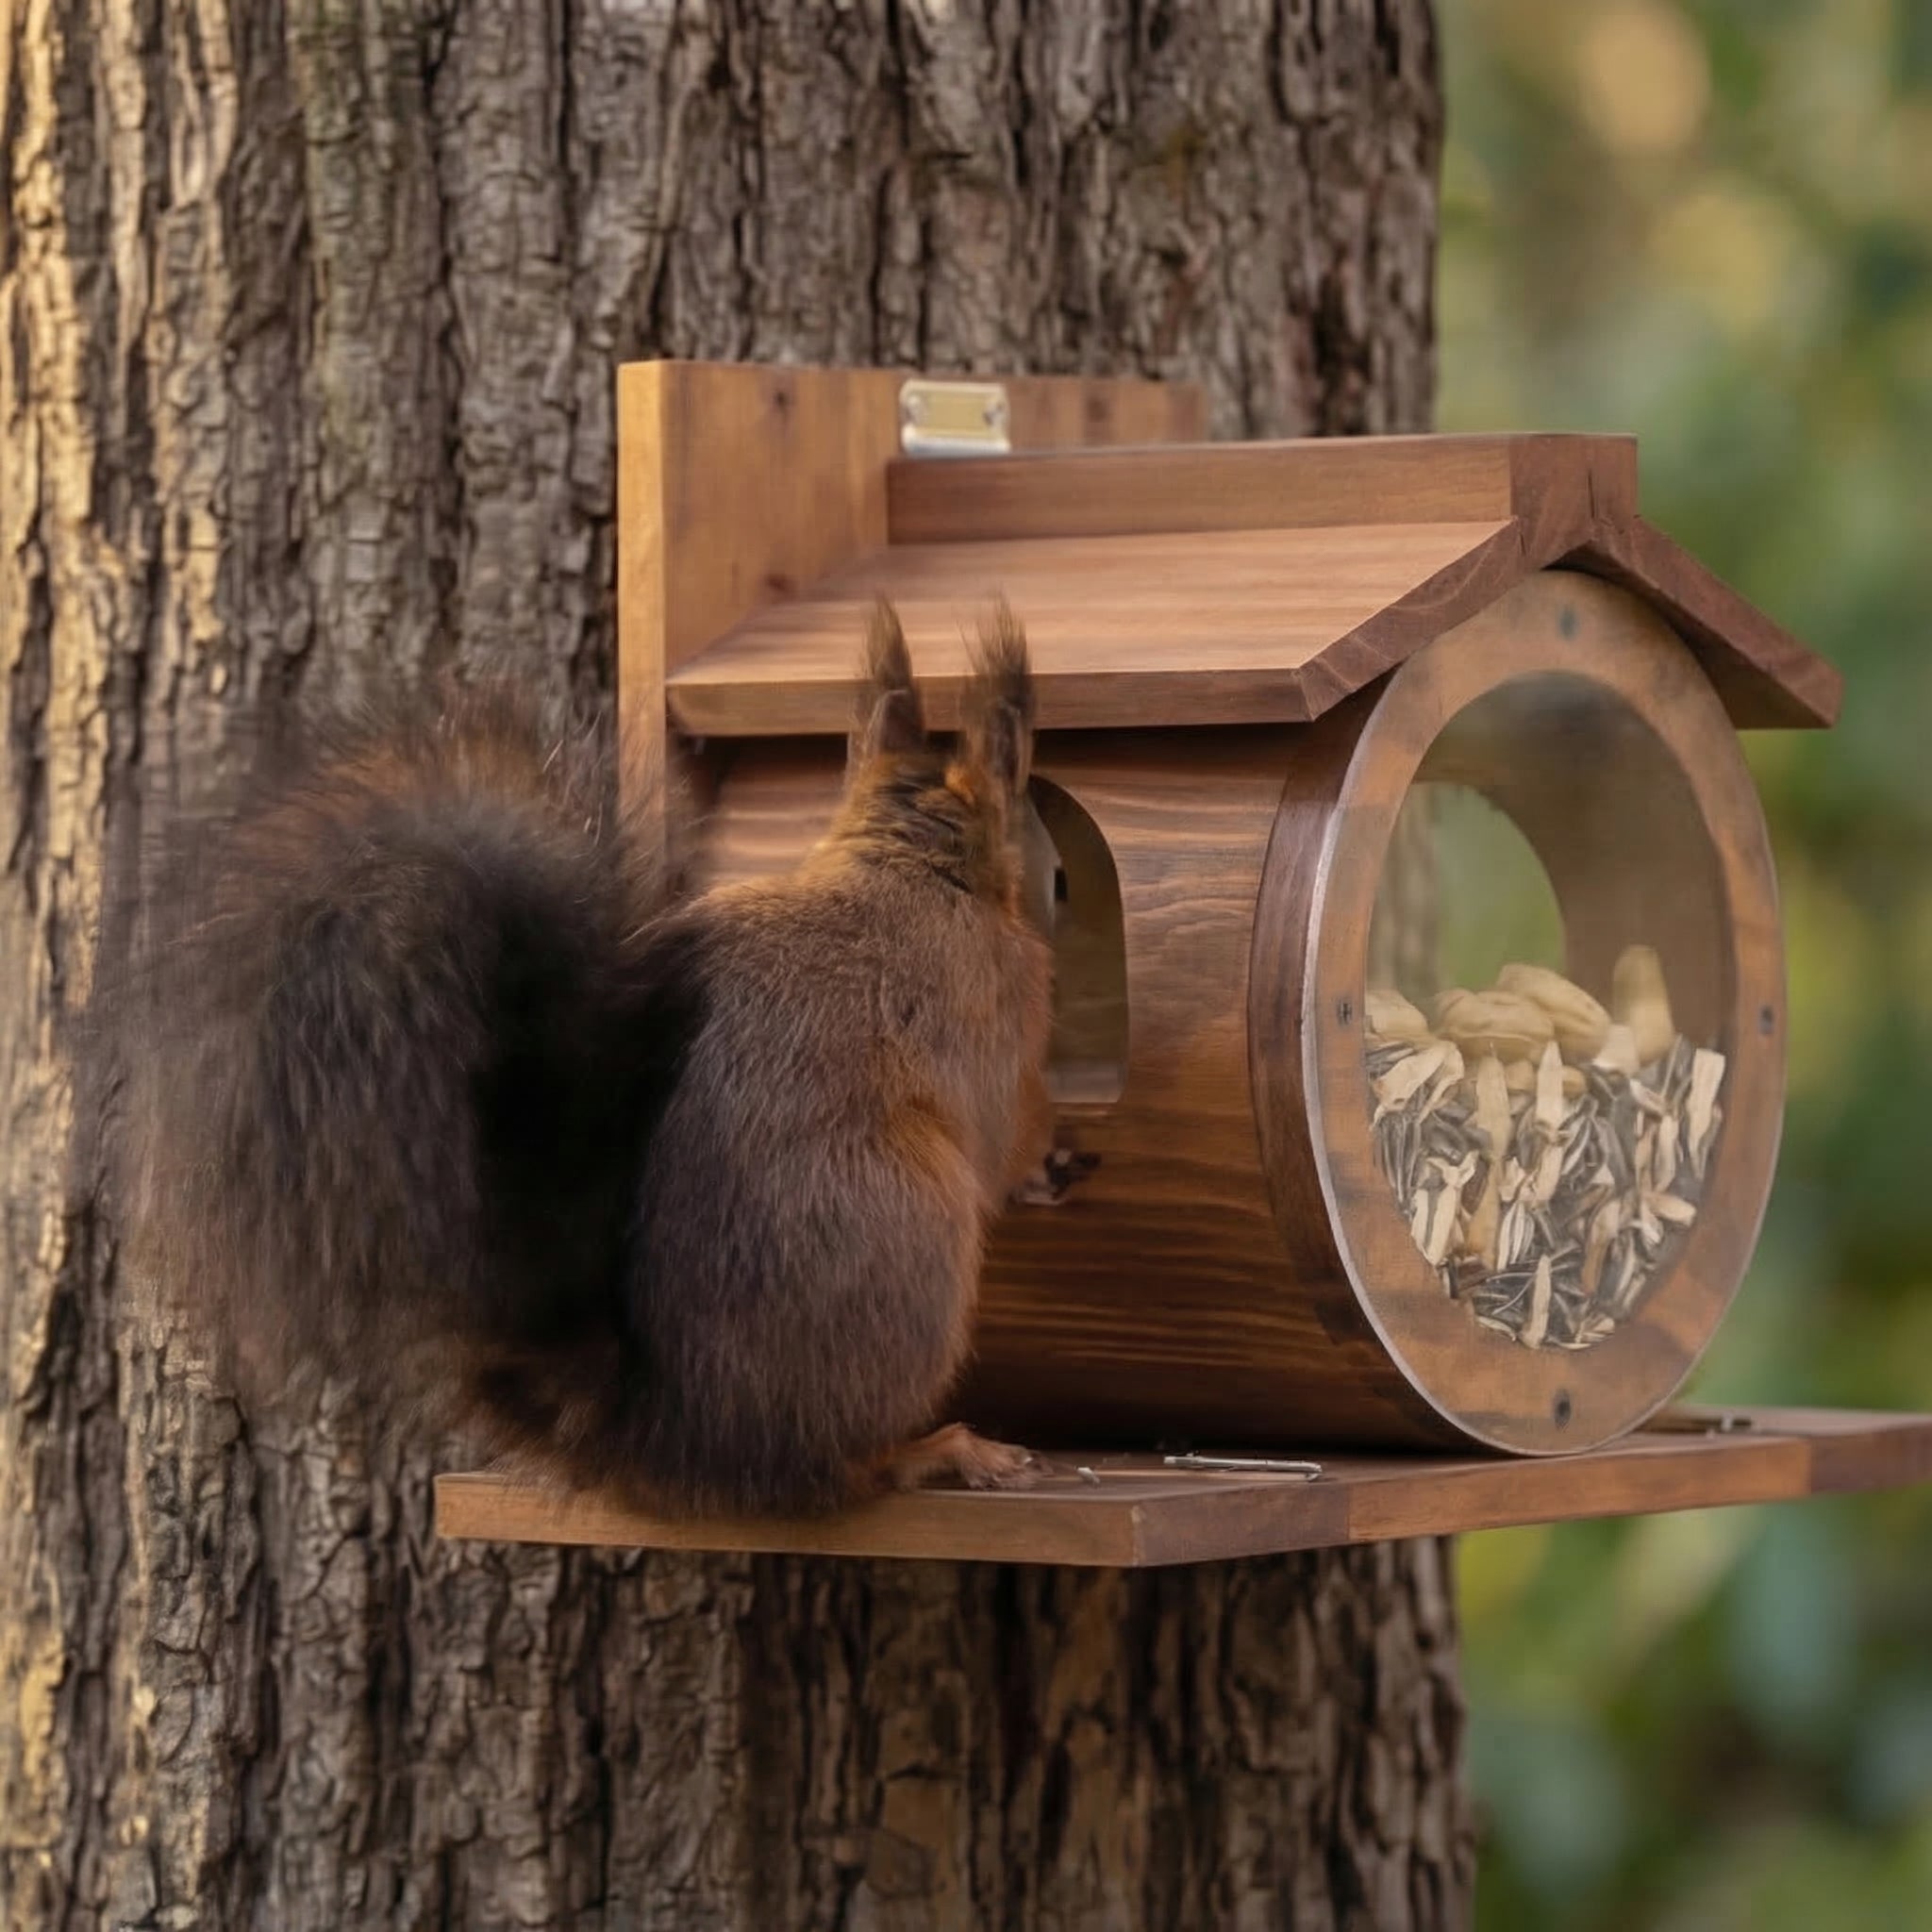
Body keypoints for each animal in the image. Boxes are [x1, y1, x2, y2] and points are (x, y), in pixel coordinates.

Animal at [110, 599, 1054, 1517]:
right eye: (1053, 867)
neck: (903, 862)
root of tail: (677, 1440)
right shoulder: (993, 1009)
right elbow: (1000, 1138)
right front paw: (1048, 1162)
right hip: (907, 1229)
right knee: (839, 1471)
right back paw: (936, 1450)